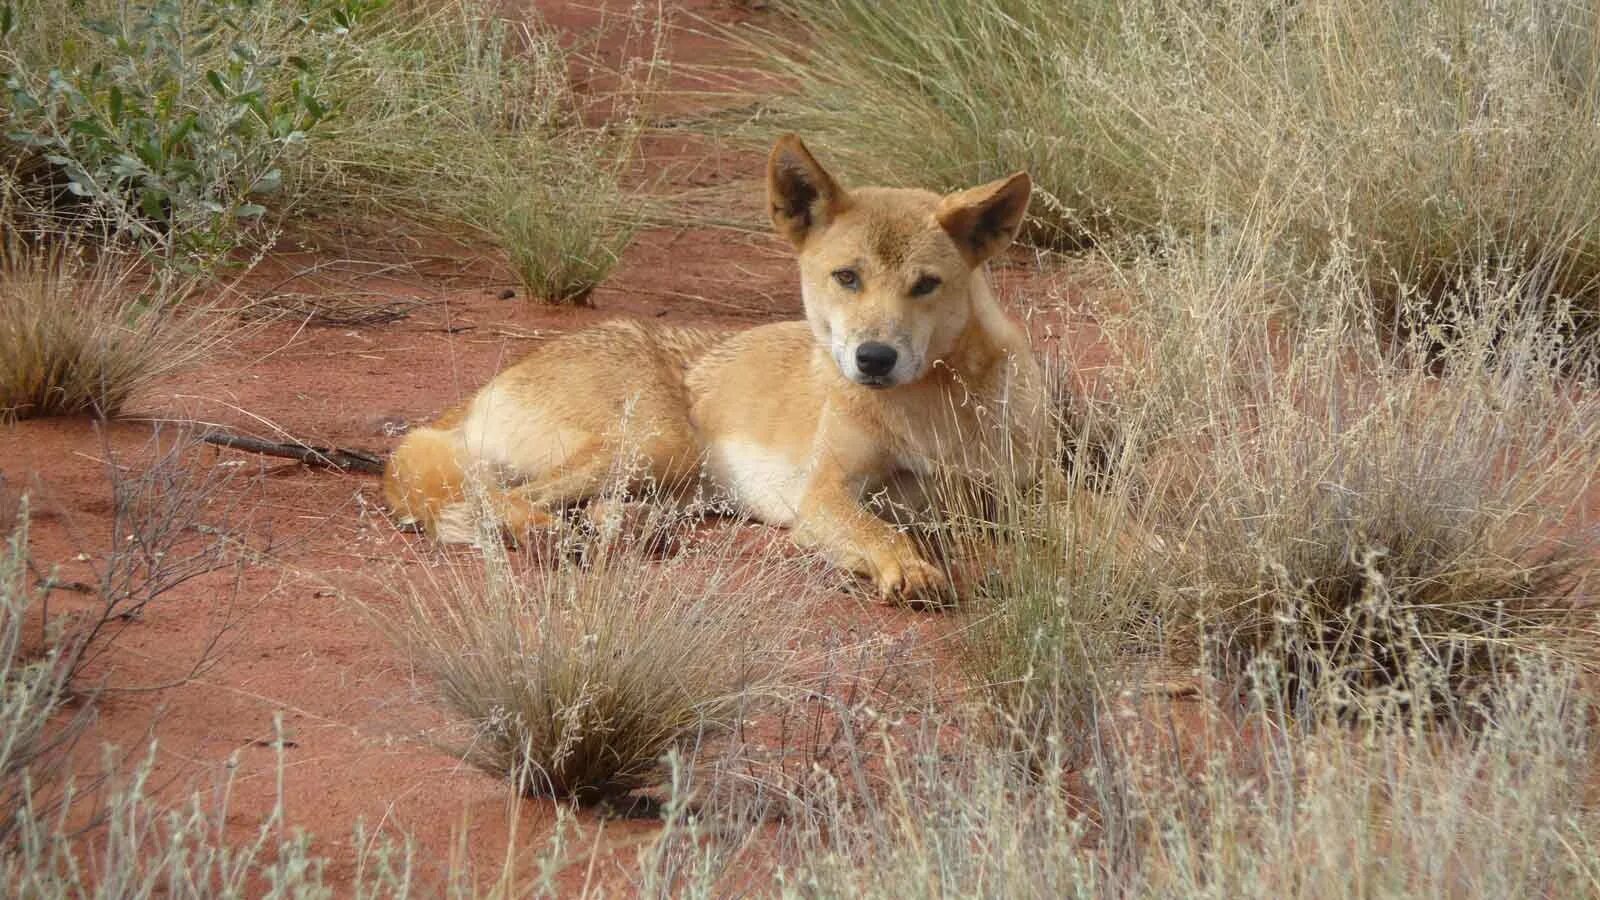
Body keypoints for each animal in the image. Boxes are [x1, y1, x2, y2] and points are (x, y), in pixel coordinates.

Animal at [380, 134, 1062, 602]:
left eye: (926, 285)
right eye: (847, 277)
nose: (873, 358)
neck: (931, 407)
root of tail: (470, 400)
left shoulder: (1030, 487)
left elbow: (1085, 518)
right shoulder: (823, 495)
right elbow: (882, 533)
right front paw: (909, 565)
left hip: (666, 479)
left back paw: (616, 529)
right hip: (659, 444)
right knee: (500, 497)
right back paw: (553, 534)